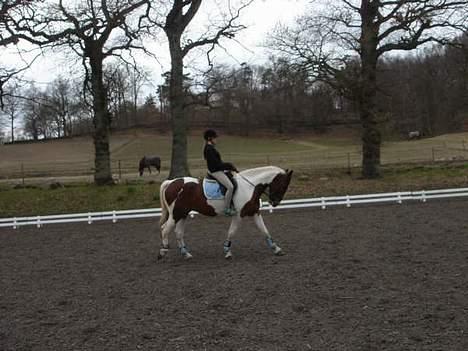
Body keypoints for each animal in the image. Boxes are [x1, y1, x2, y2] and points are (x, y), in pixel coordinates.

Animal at [159, 166, 294, 260]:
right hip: (176, 214)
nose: (275, 202)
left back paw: (186, 254)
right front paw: (227, 251)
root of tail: (170, 182)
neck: (250, 186)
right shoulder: (239, 215)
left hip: (182, 214)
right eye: (283, 185)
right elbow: (232, 232)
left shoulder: (255, 212)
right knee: (165, 230)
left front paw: (277, 249)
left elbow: (265, 231)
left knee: (178, 232)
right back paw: (163, 251)